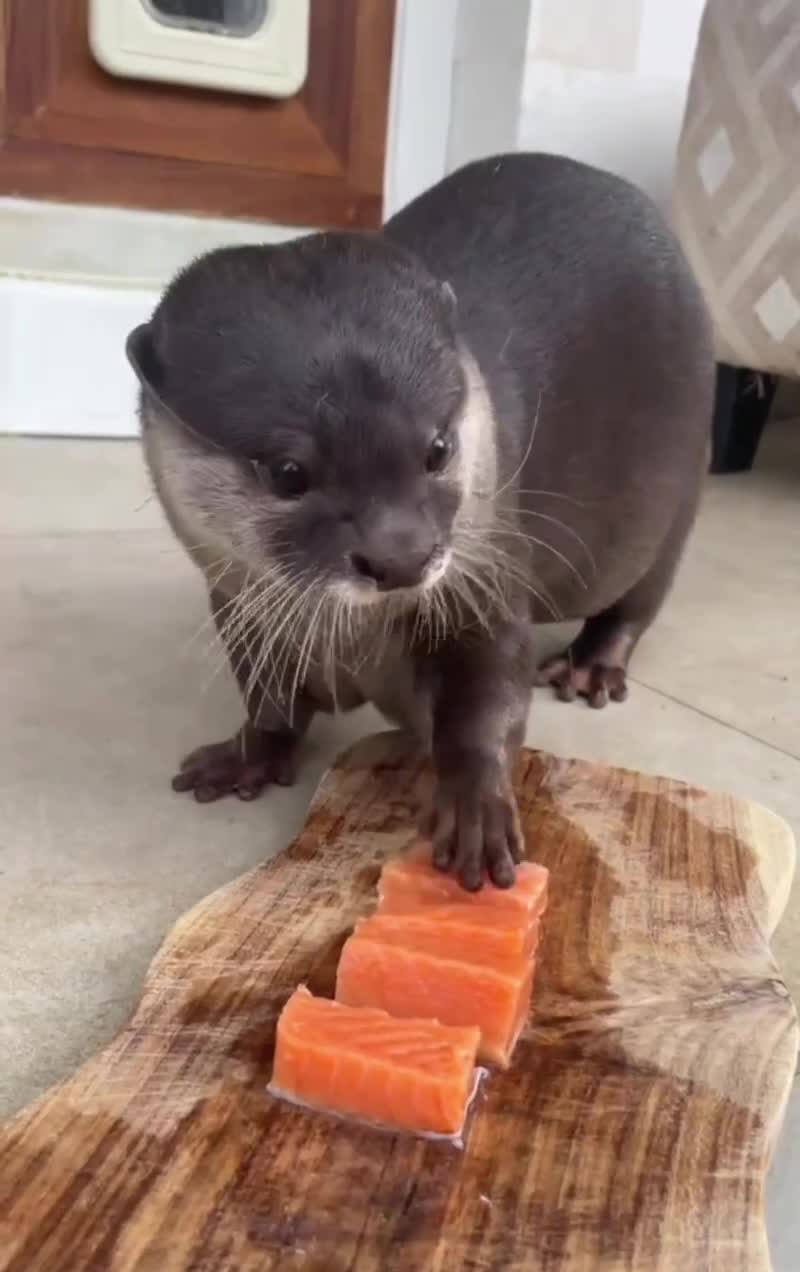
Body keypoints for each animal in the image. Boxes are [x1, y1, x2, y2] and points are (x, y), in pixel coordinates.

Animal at [126, 153, 714, 892]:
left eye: (436, 448)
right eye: (287, 471)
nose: (402, 556)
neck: (355, 642)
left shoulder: (486, 580)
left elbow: (489, 694)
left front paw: (475, 807)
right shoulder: (242, 610)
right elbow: (270, 700)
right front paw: (248, 754)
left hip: (672, 486)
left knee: (641, 591)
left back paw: (590, 666)